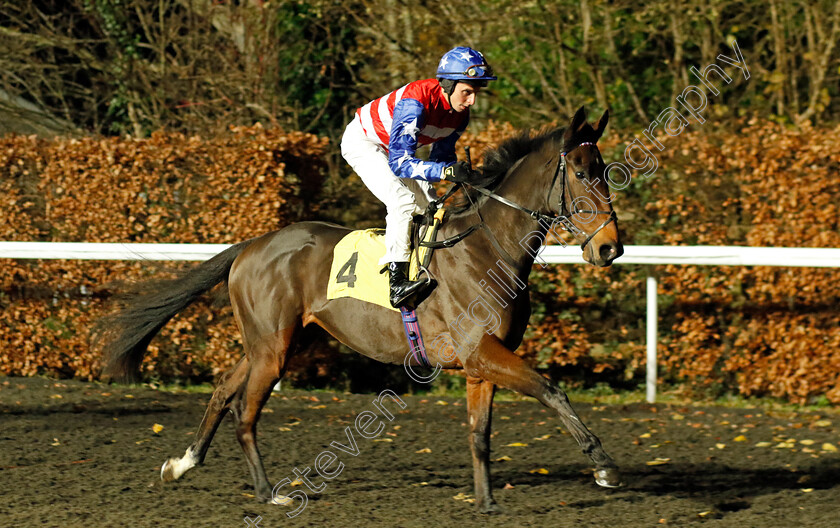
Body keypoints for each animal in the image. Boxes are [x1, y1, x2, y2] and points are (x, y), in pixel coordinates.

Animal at [97, 105, 624, 512]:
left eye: (605, 172)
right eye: (581, 174)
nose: (610, 248)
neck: (487, 248)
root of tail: (253, 244)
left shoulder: (481, 363)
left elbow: (480, 432)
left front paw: (486, 501)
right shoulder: (481, 350)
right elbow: (551, 390)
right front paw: (603, 466)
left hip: (277, 340)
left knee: (226, 388)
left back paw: (182, 464)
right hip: (274, 347)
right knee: (245, 410)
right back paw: (268, 493)